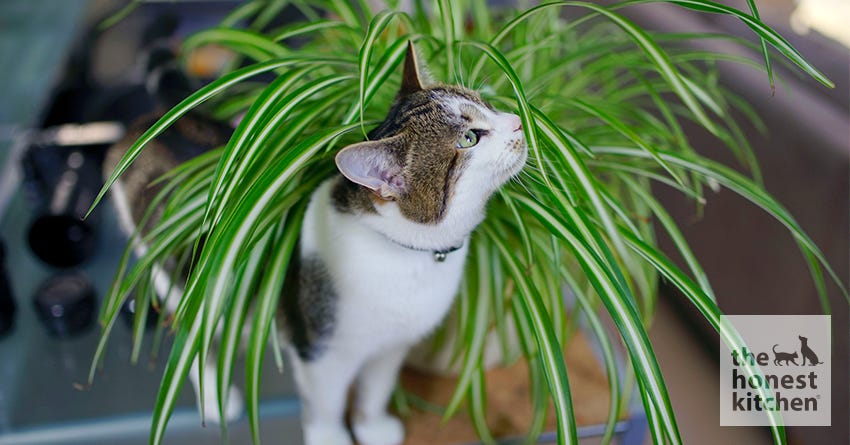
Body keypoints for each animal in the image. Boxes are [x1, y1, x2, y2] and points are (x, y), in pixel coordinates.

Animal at [105, 41, 524, 444]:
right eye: (469, 138)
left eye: (485, 103)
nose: (518, 121)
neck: (403, 255)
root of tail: (158, 119)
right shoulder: (320, 353)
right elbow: (328, 402)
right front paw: (330, 437)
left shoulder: (391, 348)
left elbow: (376, 389)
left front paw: (372, 427)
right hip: (176, 280)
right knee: (191, 341)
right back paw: (213, 395)